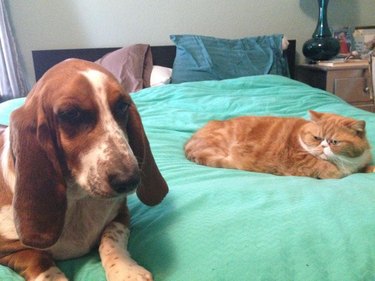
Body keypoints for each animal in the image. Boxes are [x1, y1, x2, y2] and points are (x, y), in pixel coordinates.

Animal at [0, 58, 169, 278]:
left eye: (123, 106)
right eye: (71, 114)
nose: (129, 180)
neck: (78, 199)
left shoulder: (121, 216)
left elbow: (110, 238)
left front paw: (125, 270)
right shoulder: (7, 250)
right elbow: (38, 259)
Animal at [185, 110, 374, 178]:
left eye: (334, 142)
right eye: (317, 138)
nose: (323, 147)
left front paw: (370, 169)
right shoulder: (299, 159)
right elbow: (328, 169)